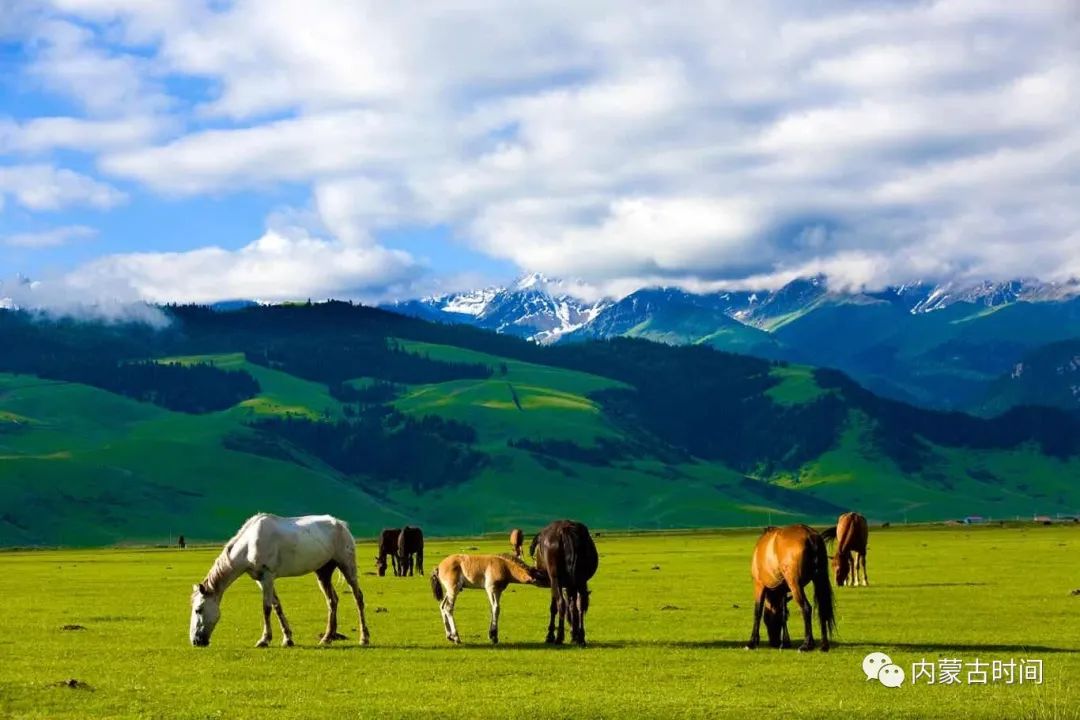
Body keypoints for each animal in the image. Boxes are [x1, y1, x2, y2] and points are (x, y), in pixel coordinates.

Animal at [187, 511, 369, 647]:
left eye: (198, 610)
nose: (195, 641)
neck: (249, 545)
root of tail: (340, 524)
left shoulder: (267, 576)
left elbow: (266, 607)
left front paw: (264, 639)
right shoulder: (261, 580)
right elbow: (277, 606)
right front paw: (287, 639)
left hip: (347, 566)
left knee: (358, 597)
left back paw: (364, 638)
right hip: (323, 572)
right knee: (332, 601)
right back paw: (327, 638)